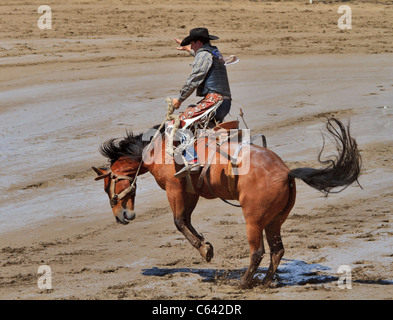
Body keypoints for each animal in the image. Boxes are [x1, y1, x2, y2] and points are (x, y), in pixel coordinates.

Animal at [92, 117, 362, 288]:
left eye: (107, 186)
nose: (121, 217)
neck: (157, 149)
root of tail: (286, 172)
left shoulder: (174, 189)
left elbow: (179, 221)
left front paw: (204, 249)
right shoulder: (191, 192)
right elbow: (186, 219)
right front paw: (206, 245)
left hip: (254, 220)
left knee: (258, 251)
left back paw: (243, 283)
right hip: (275, 220)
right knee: (277, 250)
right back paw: (265, 282)